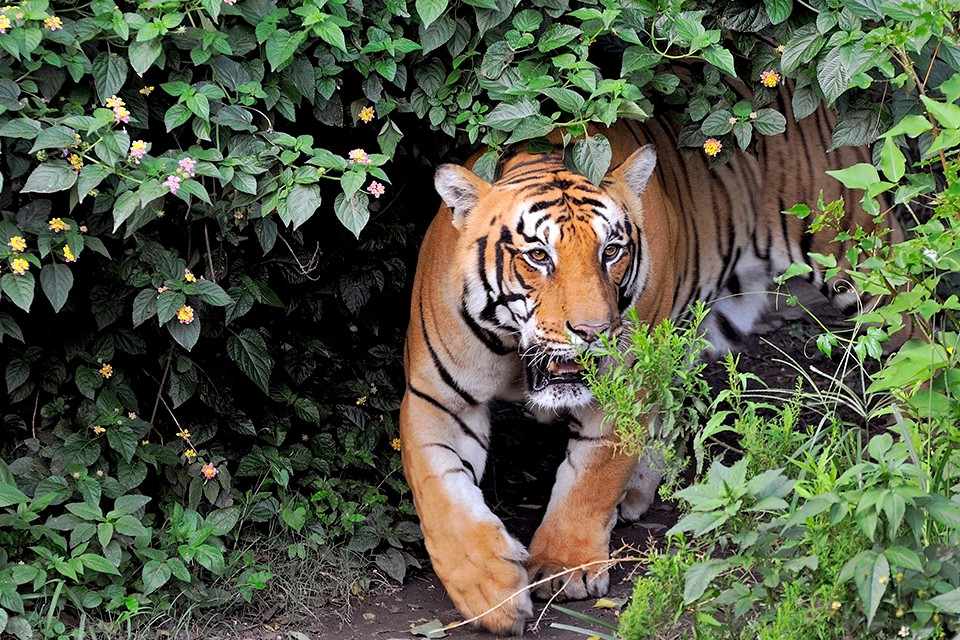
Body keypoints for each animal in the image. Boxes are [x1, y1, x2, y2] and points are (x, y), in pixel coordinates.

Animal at [394, 89, 904, 636]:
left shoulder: (623, 387)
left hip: (867, 267)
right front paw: (489, 590)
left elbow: (591, 478)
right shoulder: (435, 397)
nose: (593, 332)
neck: (516, 356)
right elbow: (439, 494)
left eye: (611, 250)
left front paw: (564, 566)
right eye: (538, 256)